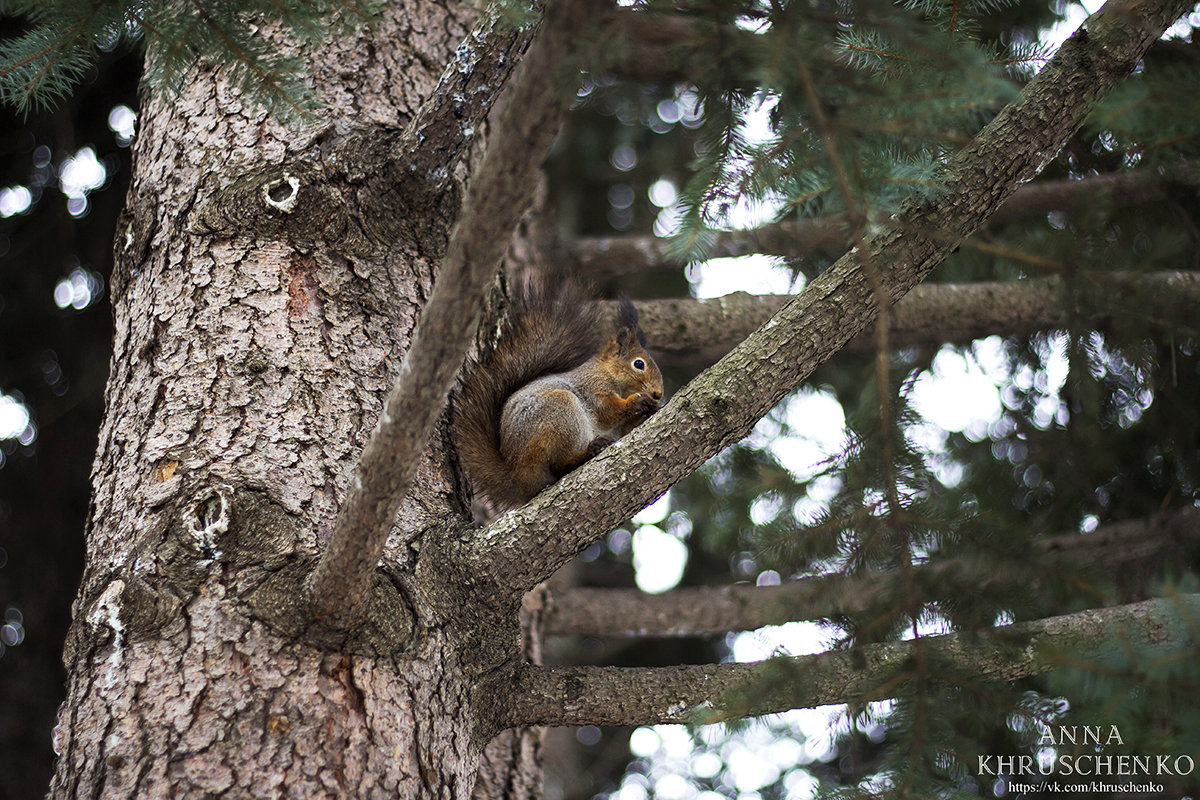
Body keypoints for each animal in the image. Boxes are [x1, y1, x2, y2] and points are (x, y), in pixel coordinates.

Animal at [451, 283, 667, 506]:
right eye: (638, 364)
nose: (658, 393)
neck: (607, 373)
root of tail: (517, 472)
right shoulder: (592, 387)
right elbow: (608, 410)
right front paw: (638, 401)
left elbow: (625, 429)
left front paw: (649, 409)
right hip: (561, 413)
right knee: (558, 466)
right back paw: (585, 454)